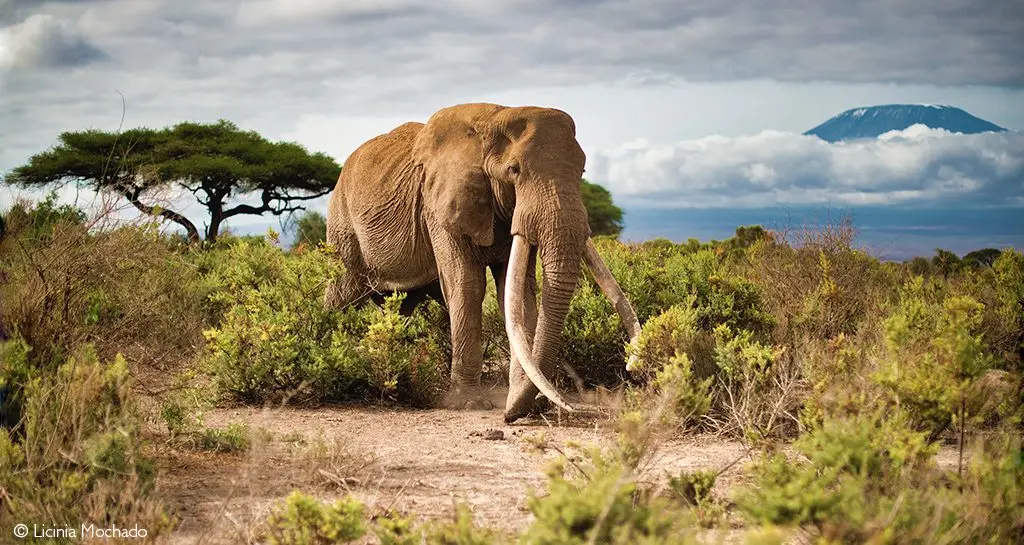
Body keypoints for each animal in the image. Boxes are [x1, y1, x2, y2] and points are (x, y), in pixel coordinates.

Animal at [323, 103, 642, 423]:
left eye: (583, 170)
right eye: (514, 170)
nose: (509, 416)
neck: (495, 118)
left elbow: (517, 293)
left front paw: (526, 401)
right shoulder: (438, 205)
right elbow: (467, 283)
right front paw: (469, 404)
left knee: (399, 307)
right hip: (343, 228)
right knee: (343, 290)